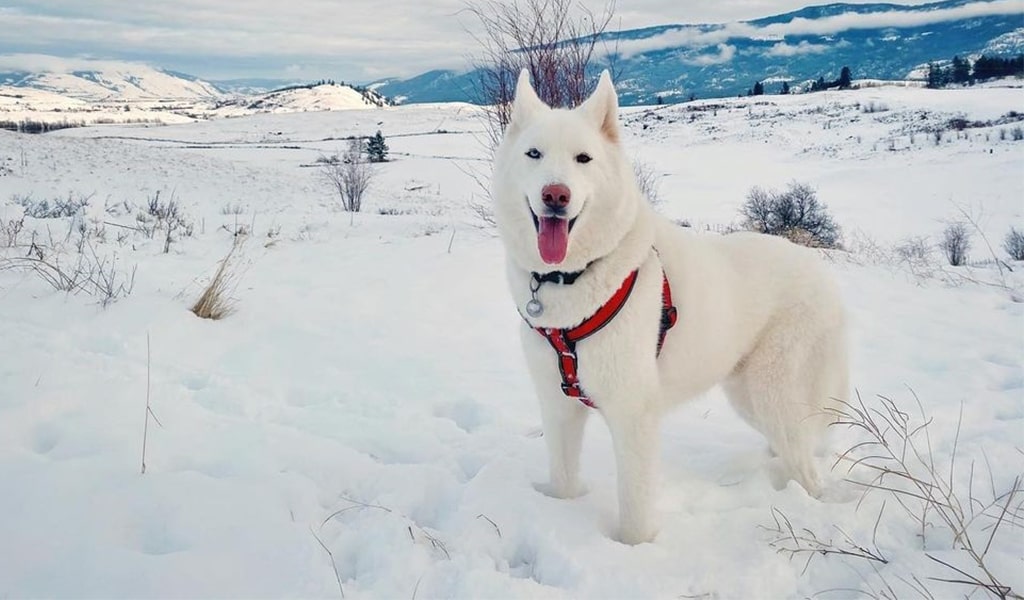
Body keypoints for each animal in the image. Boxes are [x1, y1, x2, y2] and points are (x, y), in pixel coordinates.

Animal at [489, 70, 847, 540]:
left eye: (583, 158)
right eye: (534, 154)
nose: (555, 195)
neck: (573, 277)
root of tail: (822, 272)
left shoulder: (634, 416)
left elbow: (635, 508)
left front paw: (634, 548)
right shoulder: (558, 407)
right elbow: (564, 481)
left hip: (774, 394)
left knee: (807, 465)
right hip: (748, 396)